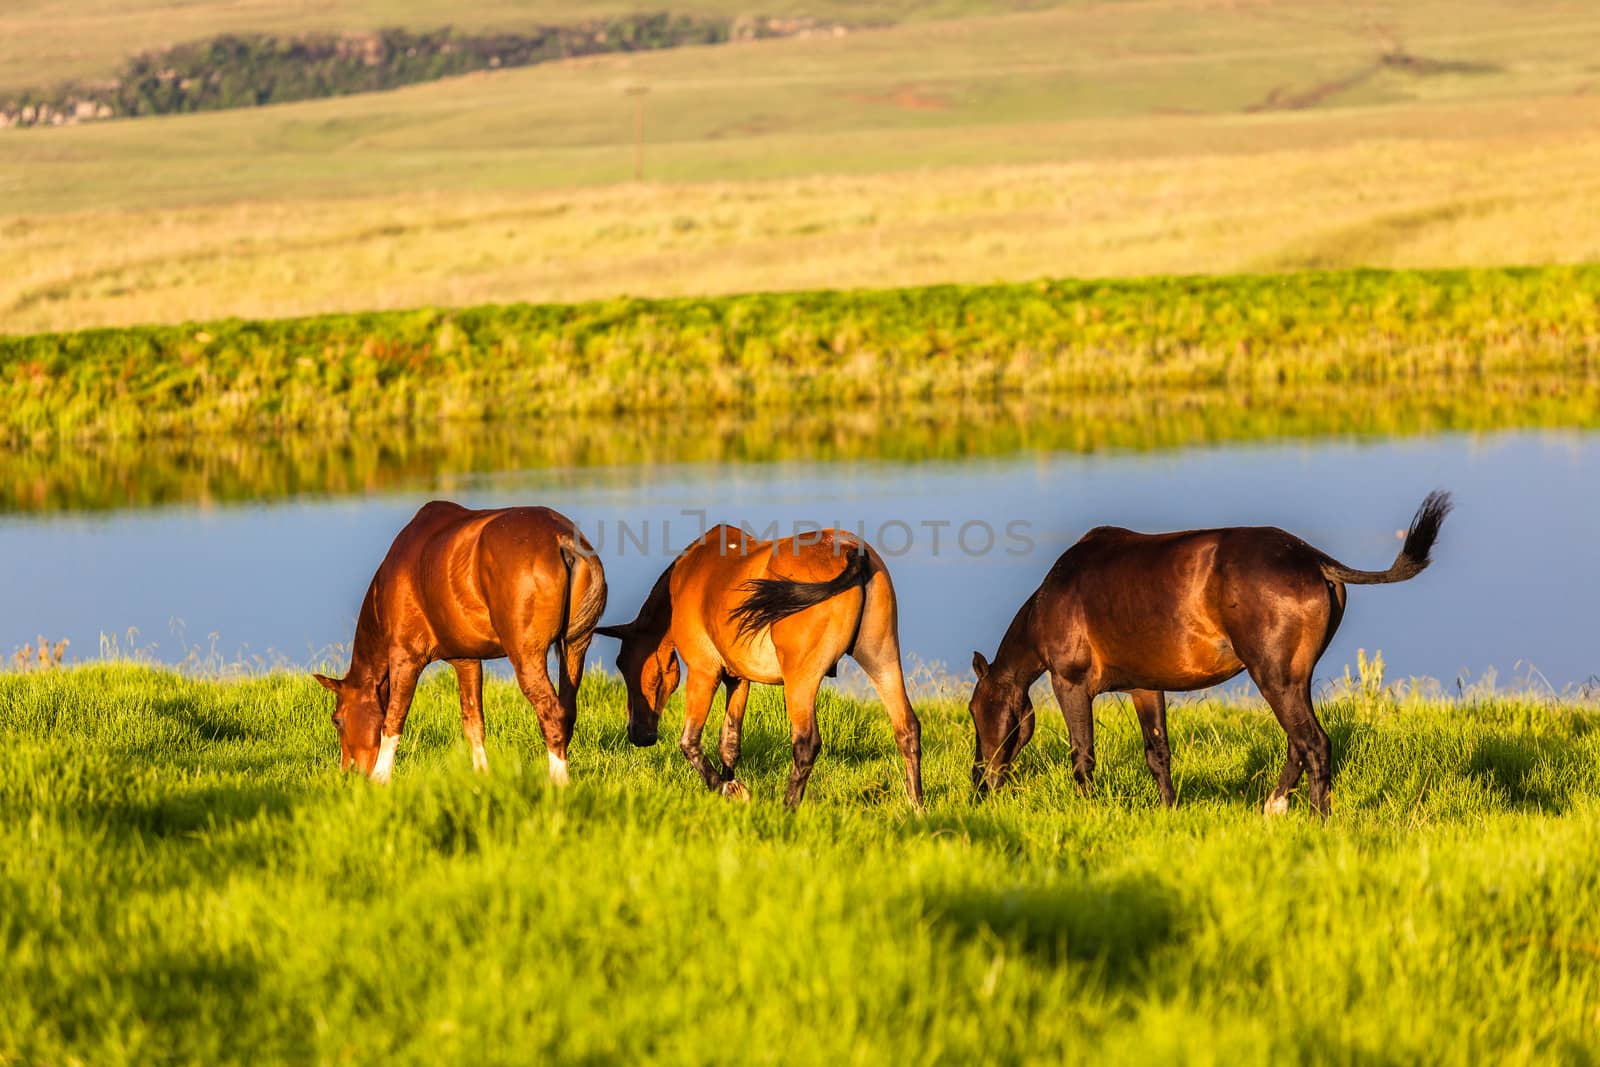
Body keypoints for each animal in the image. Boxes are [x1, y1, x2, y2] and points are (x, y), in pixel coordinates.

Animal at [312, 502, 604, 783]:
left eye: (337, 721)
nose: (347, 773)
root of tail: (562, 539)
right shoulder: (467, 661)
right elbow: (473, 723)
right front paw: (481, 777)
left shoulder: (405, 657)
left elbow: (393, 719)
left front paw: (380, 778)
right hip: (575, 649)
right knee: (568, 712)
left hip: (527, 657)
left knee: (551, 714)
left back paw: (559, 783)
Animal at [598, 524, 928, 809]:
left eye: (624, 666)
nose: (638, 735)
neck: (689, 577)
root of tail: (850, 551)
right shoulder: (738, 680)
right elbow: (729, 743)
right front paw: (730, 785)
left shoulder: (704, 672)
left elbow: (690, 741)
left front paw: (727, 788)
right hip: (881, 660)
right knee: (907, 729)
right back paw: (917, 807)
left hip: (801, 680)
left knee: (806, 744)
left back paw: (788, 807)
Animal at [966, 492, 1459, 819]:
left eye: (974, 710)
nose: (978, 783)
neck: (1057, 595)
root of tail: (1312, 558)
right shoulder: (1146, 687)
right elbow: (1158, 754)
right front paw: (1168, 813)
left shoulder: (1069, 684)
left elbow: (1082, 756)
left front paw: (1088, 813)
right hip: (1292, 679)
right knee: (1299, 743)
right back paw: (1275, 805)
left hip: (1274, 677)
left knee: (1313, 744)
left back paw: (1318, 820)